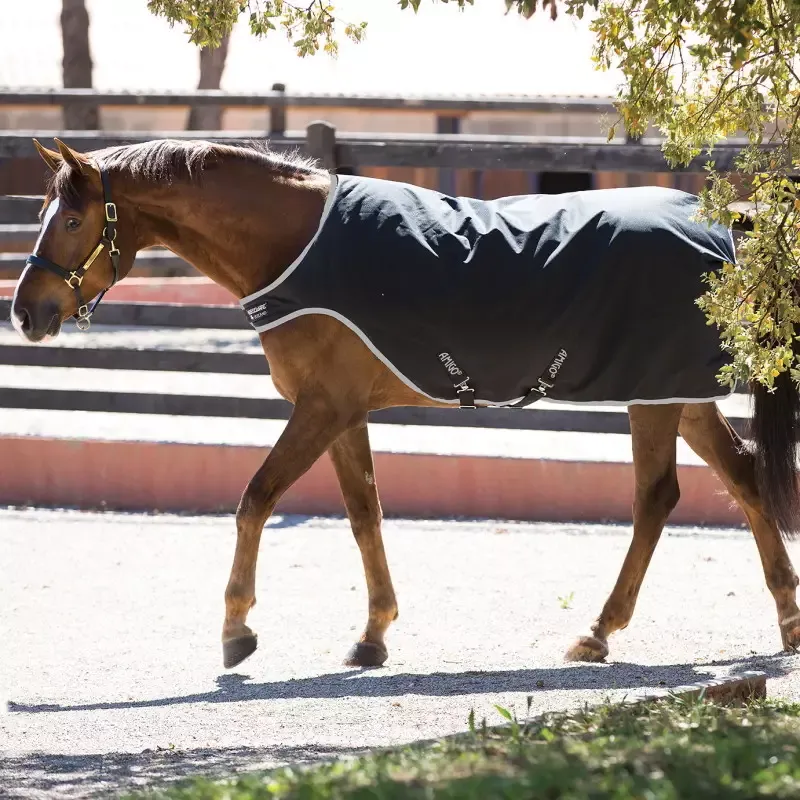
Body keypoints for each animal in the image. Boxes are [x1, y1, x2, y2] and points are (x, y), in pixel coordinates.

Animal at [10, 137, 800, 671]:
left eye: (72, 221)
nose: (26, 312)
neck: (298, 246)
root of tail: (717, 218)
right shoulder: (344, 412)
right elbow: (365, 512)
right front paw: (373, 633)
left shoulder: (322, 408)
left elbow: (256, 496)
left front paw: (237, 629)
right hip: (679, 393)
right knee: (744, 477)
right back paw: (787, 618)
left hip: (654, 395)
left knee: (656, 497)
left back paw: (599, 630)